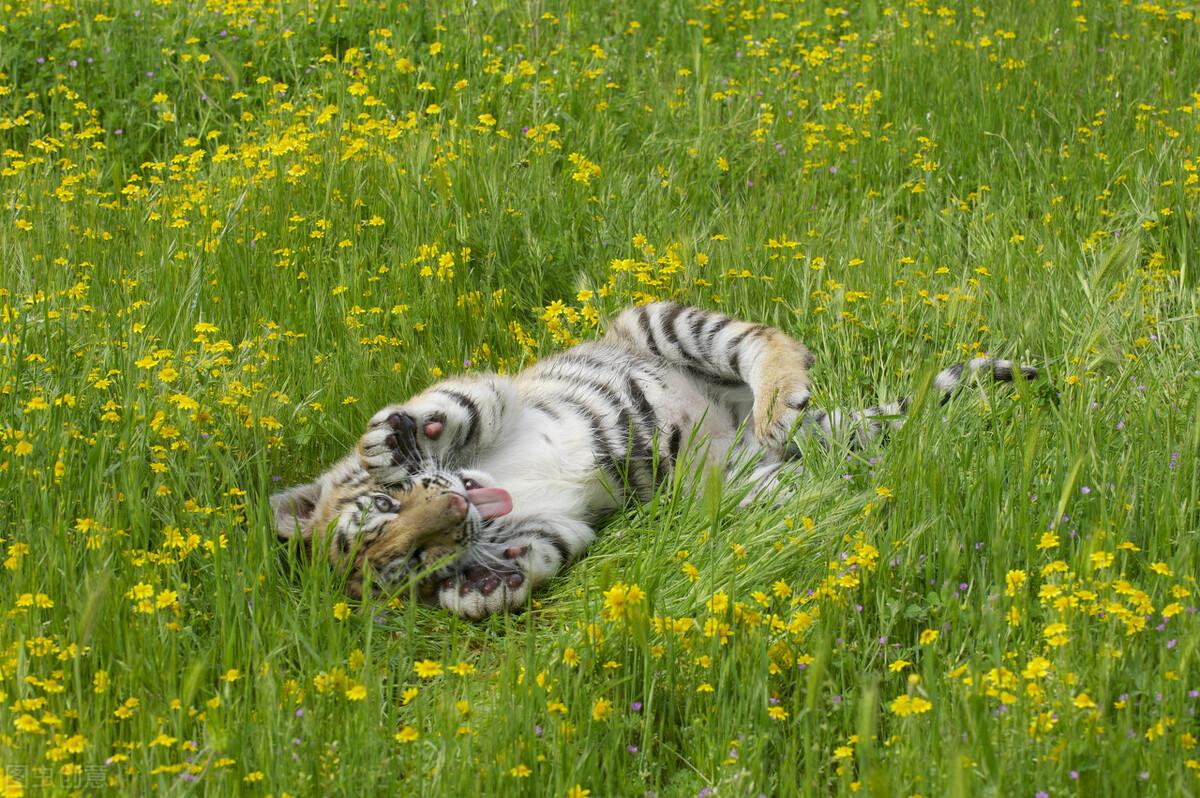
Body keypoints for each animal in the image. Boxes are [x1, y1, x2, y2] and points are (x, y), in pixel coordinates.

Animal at [270, 302, 1032, 619]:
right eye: (413, 562)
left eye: (390, 507)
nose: (454, 510)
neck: (499, 488)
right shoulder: (562, 523)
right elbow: (540, 548)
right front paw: (484, 589)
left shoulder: (501, 392)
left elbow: (457, 406)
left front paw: (395, 438)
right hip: (741, 485)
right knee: (824, 486)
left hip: (659, 323)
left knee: (767, 340)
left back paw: (781, 398)